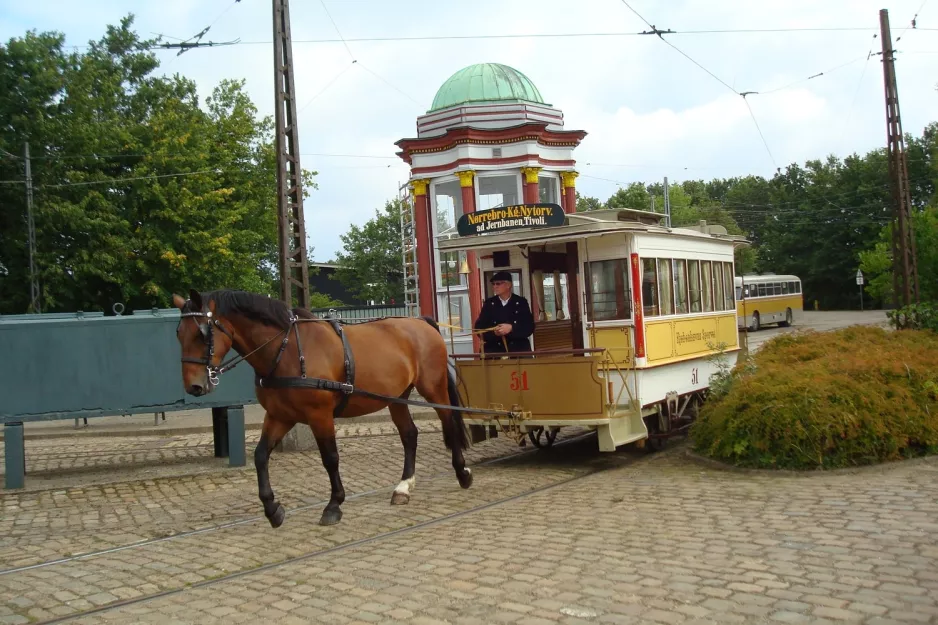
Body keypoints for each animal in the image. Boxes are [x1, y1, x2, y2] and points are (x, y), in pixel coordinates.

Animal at [171, 288, 472, 528]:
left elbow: (330, 458)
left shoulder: (320, 415)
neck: (287, 350)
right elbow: (260, 456)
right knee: (409, 434)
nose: (193, 386)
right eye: (178, 333)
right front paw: (272, 509)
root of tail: (421, 322)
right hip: (397, 397)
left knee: (449, 423)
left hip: (433, 389)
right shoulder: (279, 416)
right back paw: (403, 487)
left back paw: (462, 473)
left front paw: (334, 505)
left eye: (202, 333)